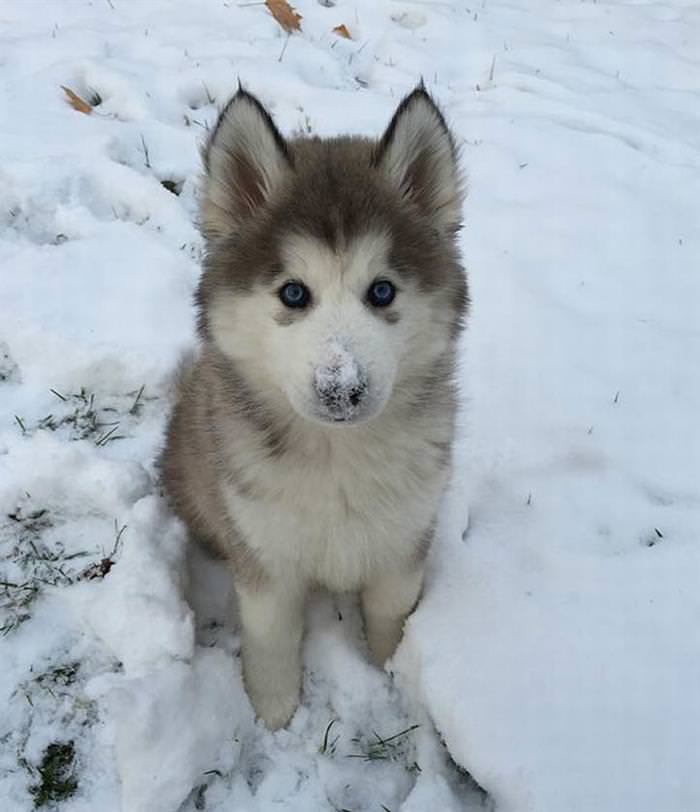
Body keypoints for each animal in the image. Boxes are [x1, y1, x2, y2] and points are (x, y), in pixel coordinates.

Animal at [161, 84, 468, 728]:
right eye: (294, 293)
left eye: (382, 291)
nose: (341, 389)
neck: (337, 456)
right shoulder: (264, 553)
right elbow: (272, 637)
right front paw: (274, 711)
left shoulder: (404, 538)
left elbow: (391, 614)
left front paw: (392, 672)